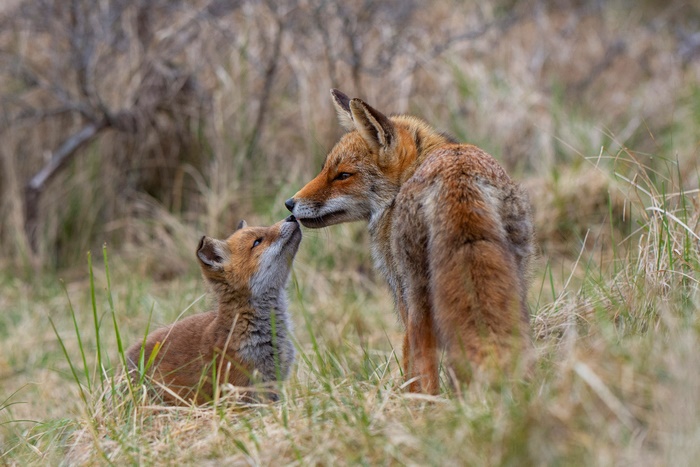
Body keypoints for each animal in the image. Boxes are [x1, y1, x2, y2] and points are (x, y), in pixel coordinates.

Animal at [285, 89, 535, 394]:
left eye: (343, 175)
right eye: (324, 170)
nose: (290, 203)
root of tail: (459, 177)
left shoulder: (402, 296)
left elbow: (410, 361)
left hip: (419, 295)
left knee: (425, 360)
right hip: (516, 281)